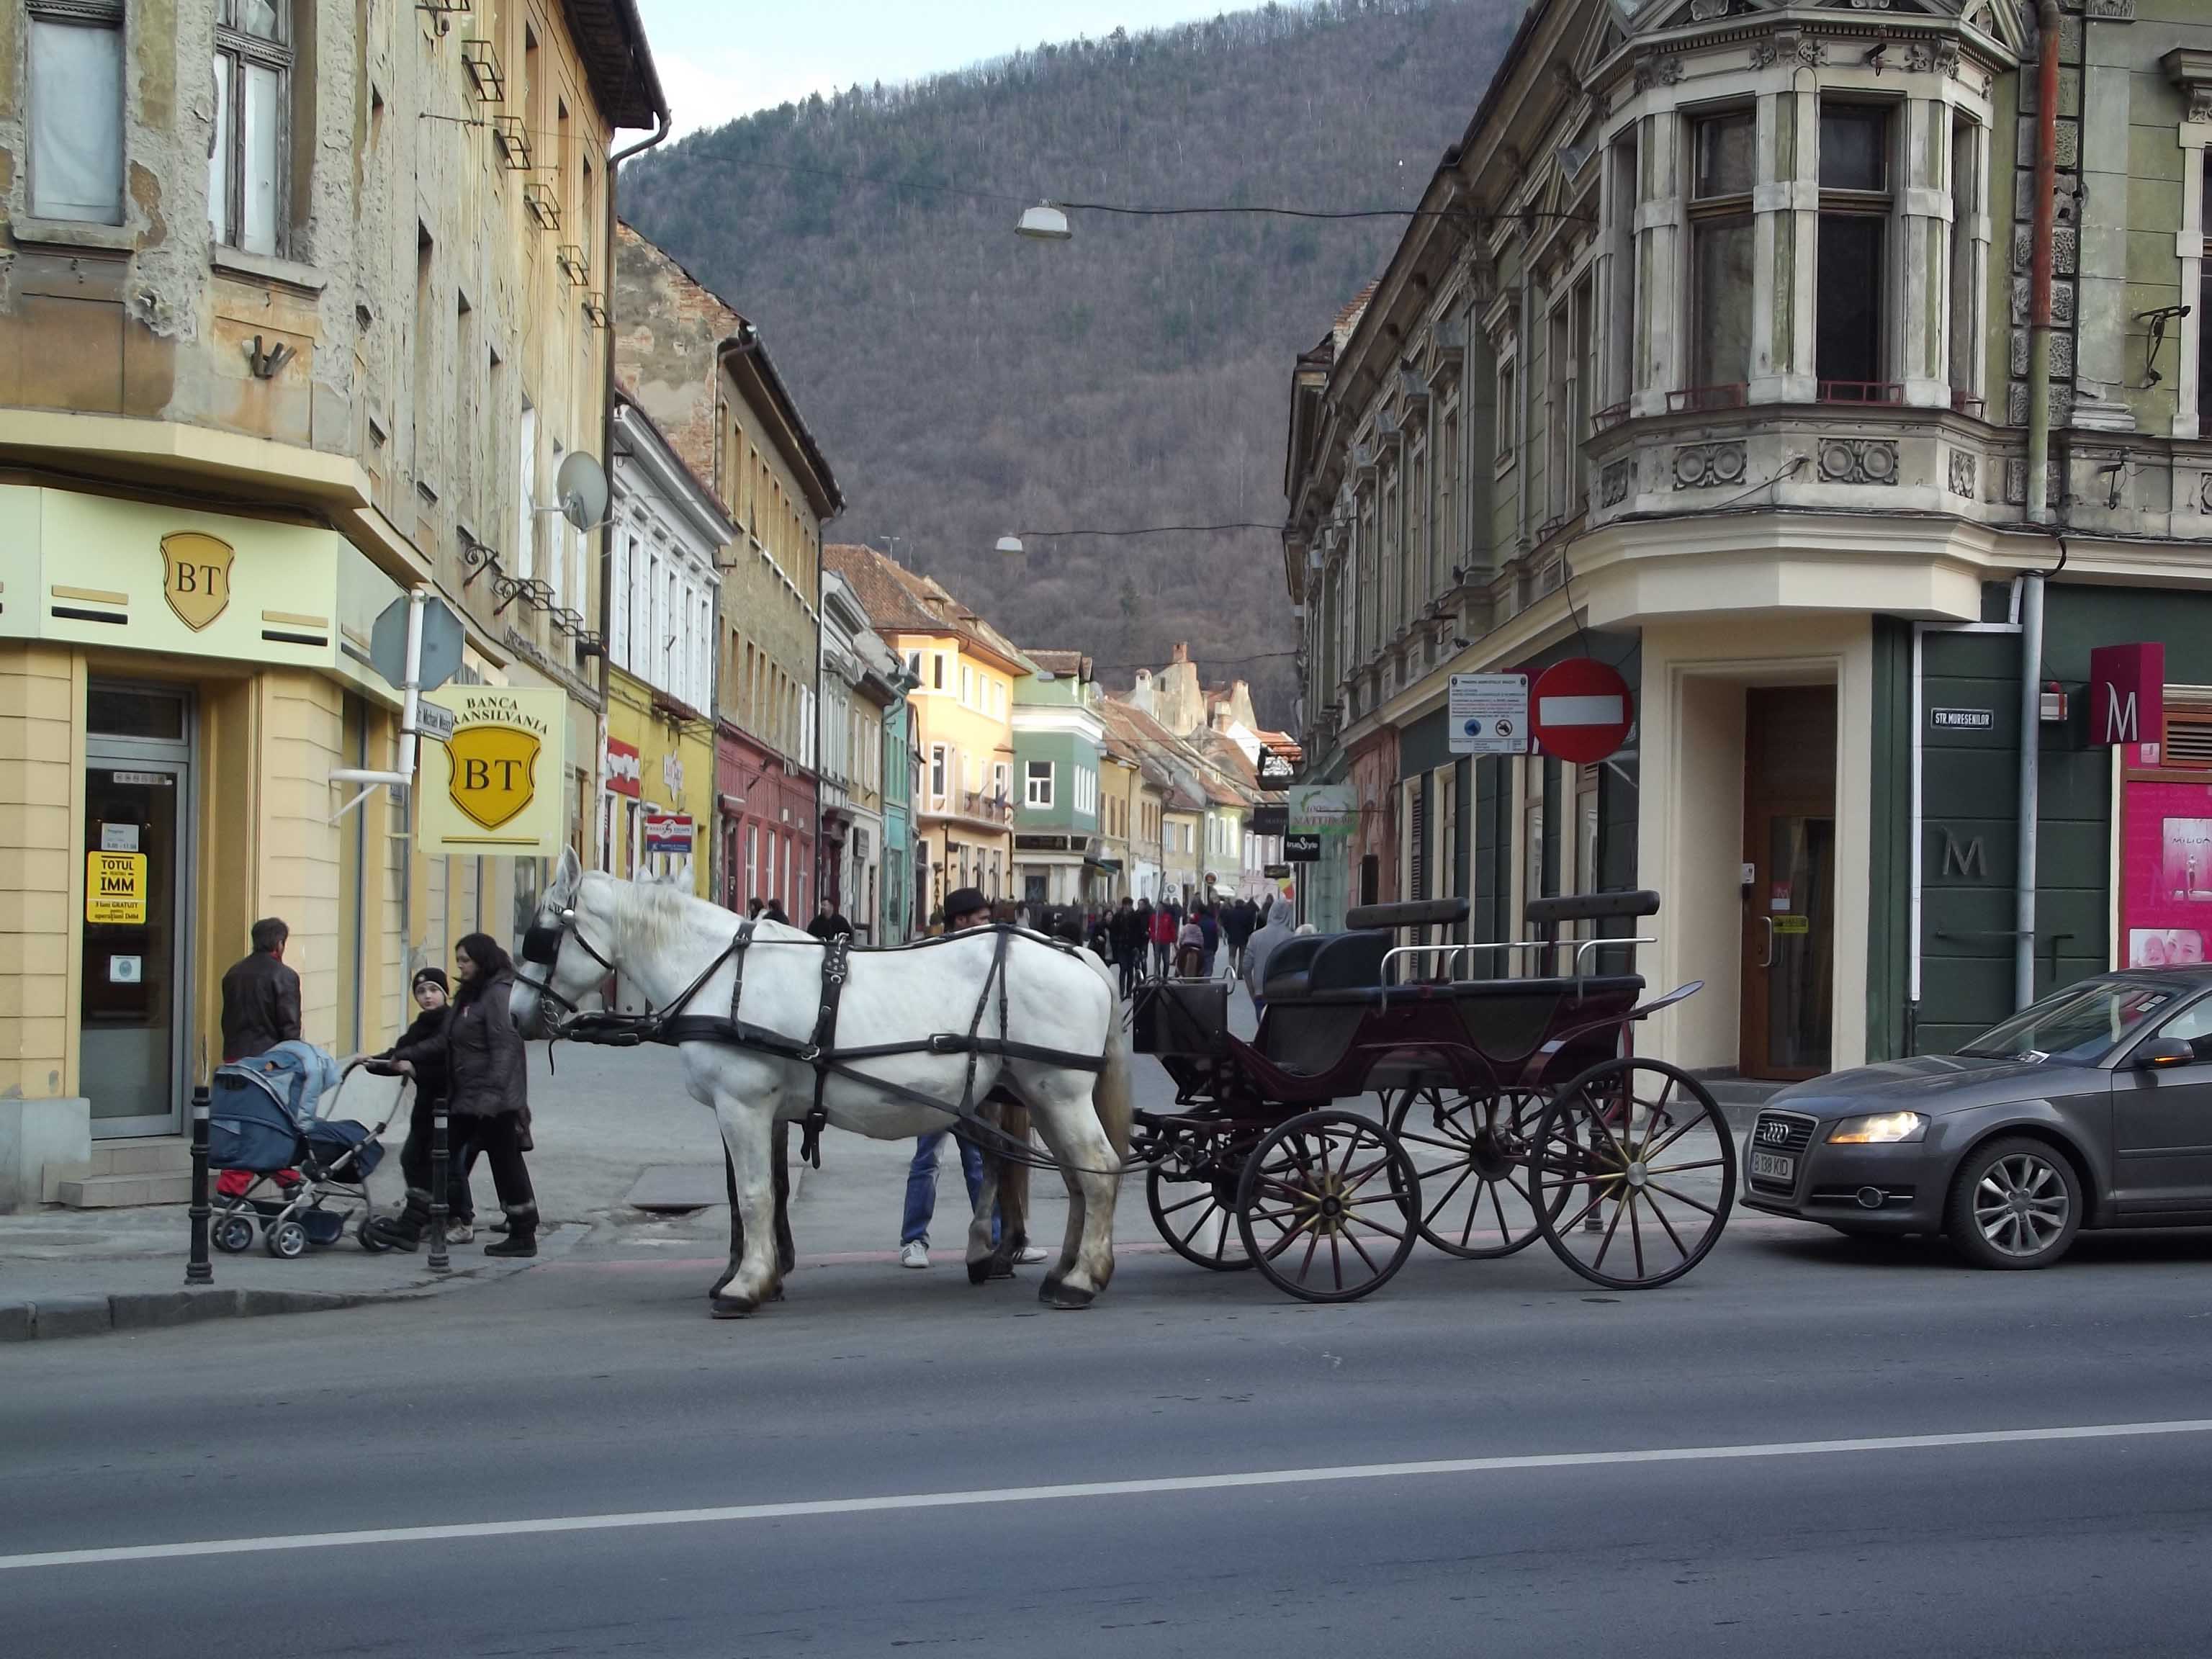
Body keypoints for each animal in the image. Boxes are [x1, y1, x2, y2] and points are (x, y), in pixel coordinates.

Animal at [511, 858, 1132, 1309]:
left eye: (541, 936)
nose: (515, 1014)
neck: (718, 974)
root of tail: (1078, 953)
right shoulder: (765, 1110)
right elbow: (761, 1192)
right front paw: (763, 1272)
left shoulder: (741, 1105)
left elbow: (755, 1194)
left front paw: (745, 1285)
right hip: (1036, 1092)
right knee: (1073, 1178)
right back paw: (1063, 1269)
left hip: (1058, 1090)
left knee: (1097, 1169)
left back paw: (1080, 1280)